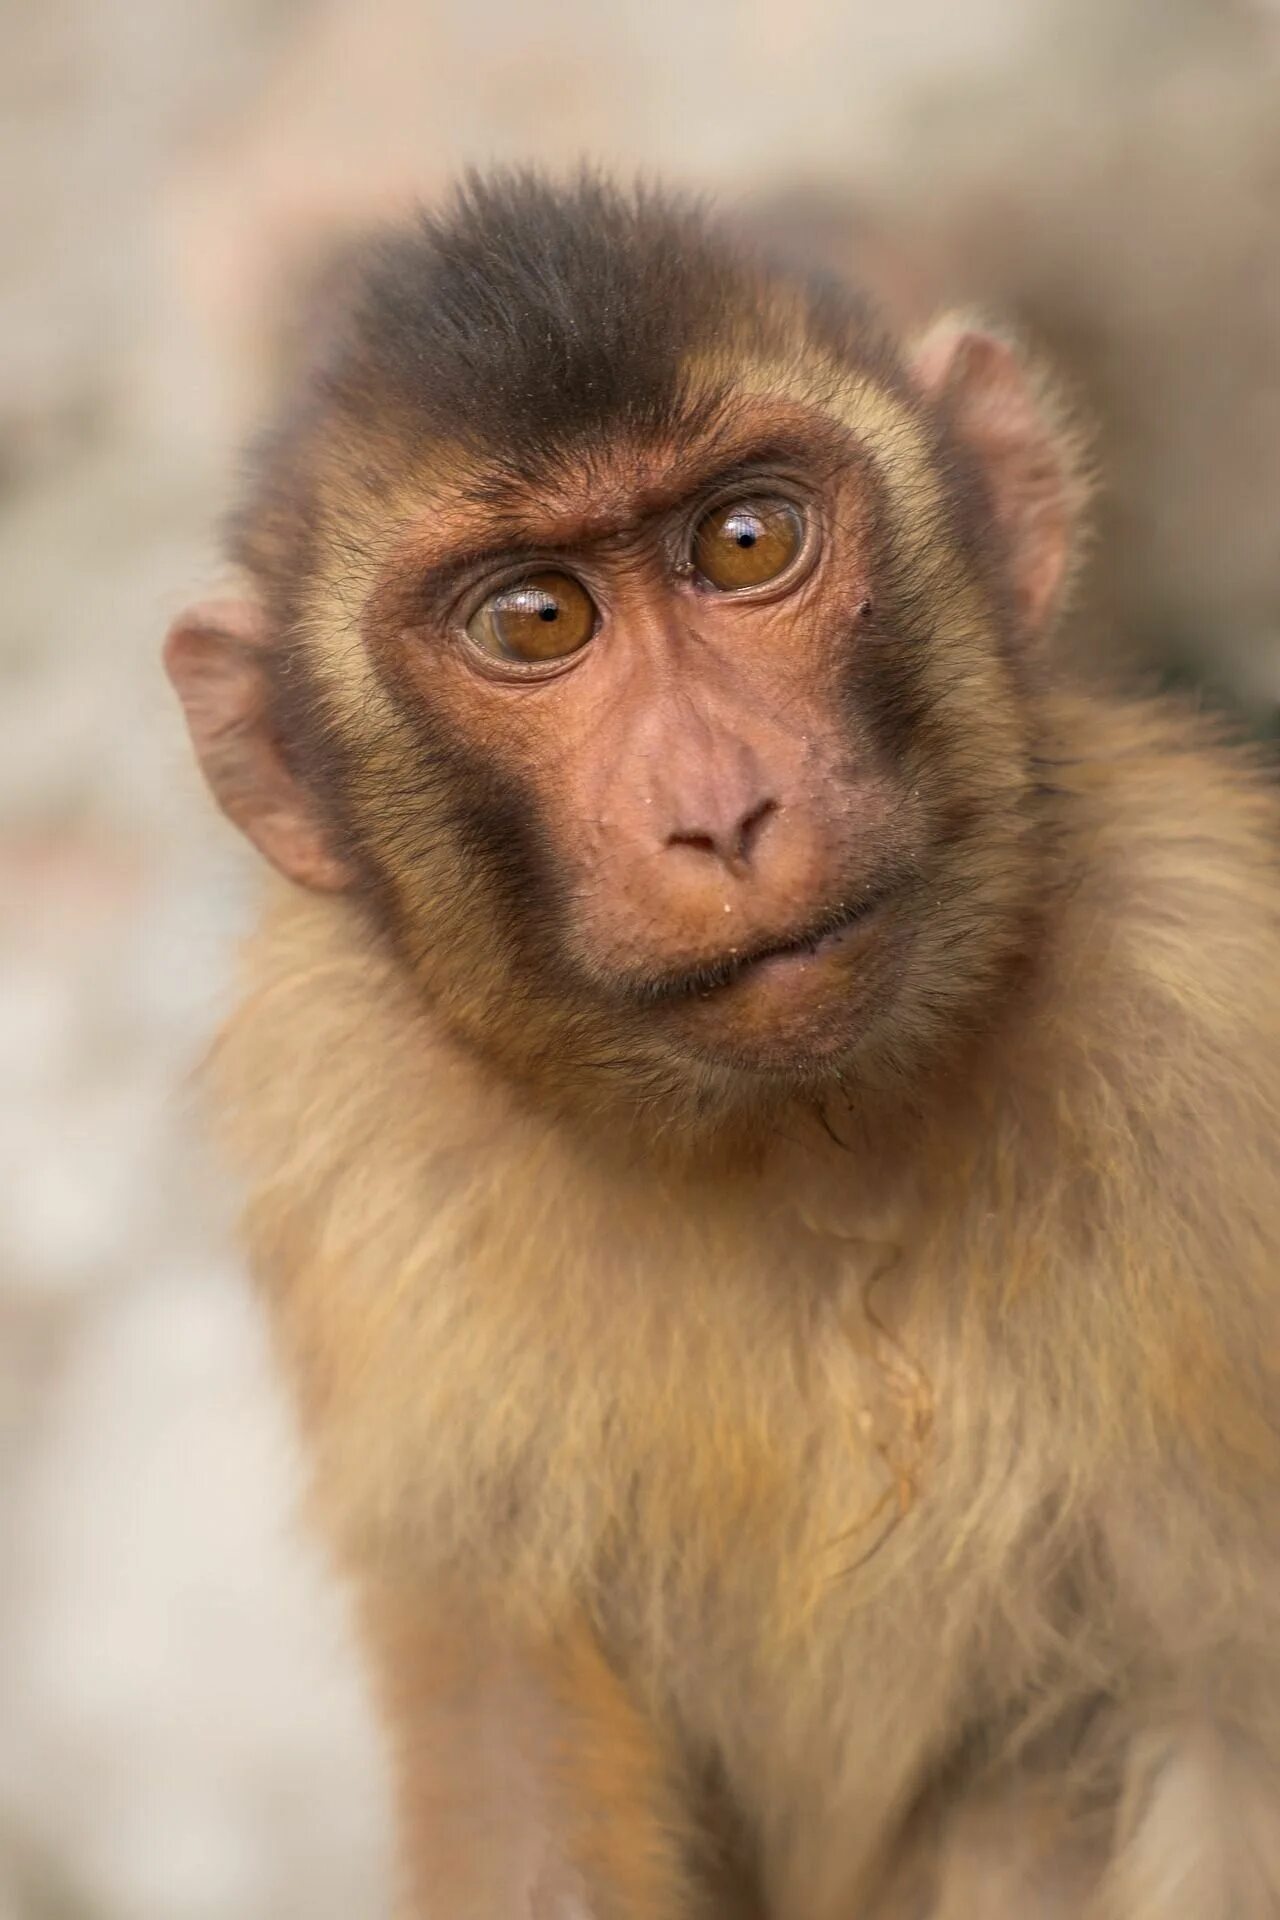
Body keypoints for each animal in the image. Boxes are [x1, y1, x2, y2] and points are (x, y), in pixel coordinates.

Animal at [165, 172, 1280, 1912]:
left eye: (746, 541)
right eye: (536, 621)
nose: (718, 808)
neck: (802, 1142)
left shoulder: (1217, 1019)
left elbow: (1221, 1720)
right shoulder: (357, 1155)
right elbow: (519, 1766)